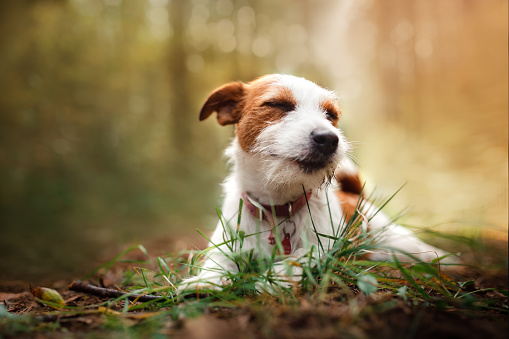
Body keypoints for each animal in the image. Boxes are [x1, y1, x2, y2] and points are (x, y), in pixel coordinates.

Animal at [179, 75, 452, 294]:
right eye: (277, 104)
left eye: (331, 115)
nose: (329, 138)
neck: (279, 208)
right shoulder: (225, 245)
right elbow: (217, 260)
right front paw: (206, 280)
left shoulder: (327, 248)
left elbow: (304, 255)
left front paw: (279, 275)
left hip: (397, 240)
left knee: (425, 252)